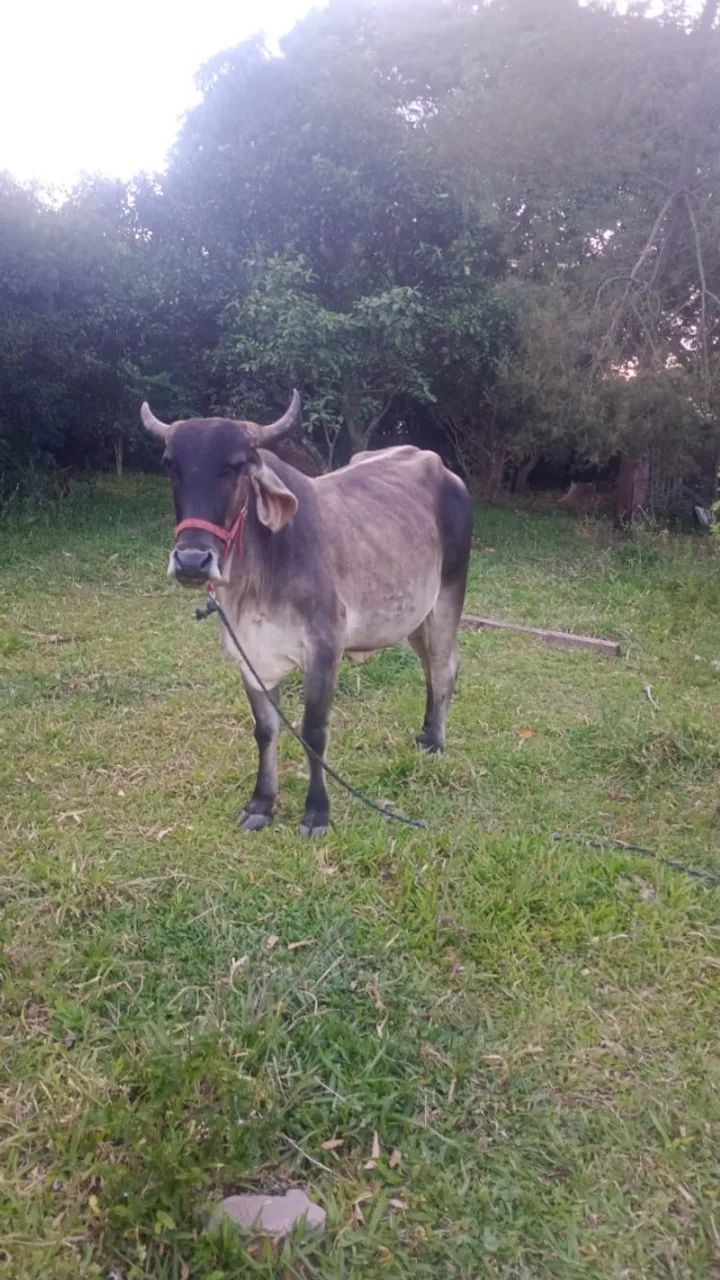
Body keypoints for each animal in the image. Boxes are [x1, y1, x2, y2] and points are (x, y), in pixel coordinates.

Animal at [141, 392, 473, 836]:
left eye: (238, 465)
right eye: (170, 465)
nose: (192, 561)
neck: (256, 577)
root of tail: (443, 470)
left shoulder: (324, 651)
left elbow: (314, 733)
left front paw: (317, 812)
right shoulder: (251, 656)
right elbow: (265, 730)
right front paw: (262, 803)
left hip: (447, 598)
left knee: (444, 665)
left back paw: (435, 742)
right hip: (414, 617)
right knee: (429, 669)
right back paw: (424, 733)